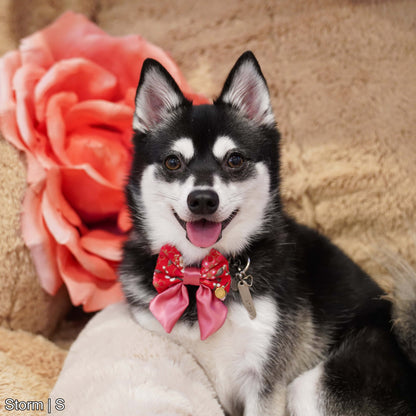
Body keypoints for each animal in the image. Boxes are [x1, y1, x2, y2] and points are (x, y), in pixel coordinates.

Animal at [120, 52, 416, 416]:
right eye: (173, 162)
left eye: (234, 160)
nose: (202, 198)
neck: (200, 277)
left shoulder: (265, 380)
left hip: (315, 384)